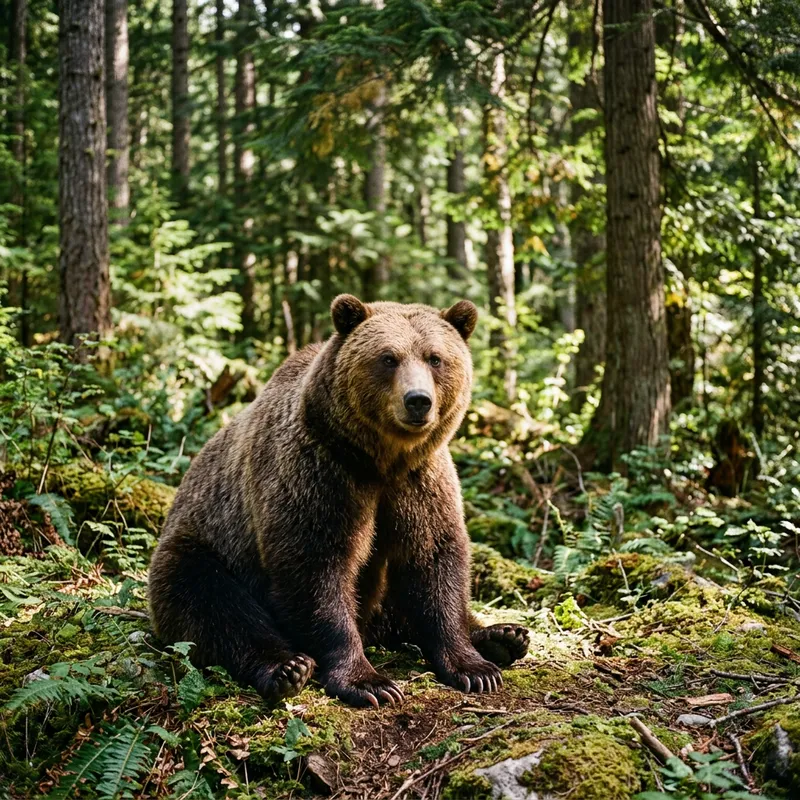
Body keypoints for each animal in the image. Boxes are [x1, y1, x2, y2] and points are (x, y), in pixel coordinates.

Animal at [148, 295, 529, 708]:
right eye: (388, 357)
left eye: (435, 358)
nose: (418, 401)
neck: (381, 460)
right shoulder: (321, 474)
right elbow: (317, 568)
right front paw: (369, 682)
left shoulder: (419, 481)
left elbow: (433, 559)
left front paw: (475, 668)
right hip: (203, 543)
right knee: (210, 602)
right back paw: (287, 668)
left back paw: (504, 636)